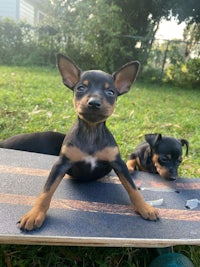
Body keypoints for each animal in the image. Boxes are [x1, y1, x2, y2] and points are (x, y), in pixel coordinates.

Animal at [17, 54, 158, 230]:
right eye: (81, 88)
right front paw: (35, 214)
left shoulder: (118, 163)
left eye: (110, 92)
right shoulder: (61, 164)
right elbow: (46, 190)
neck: (91, 131)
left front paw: (144, 207)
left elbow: (132, 187)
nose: (94, 103)